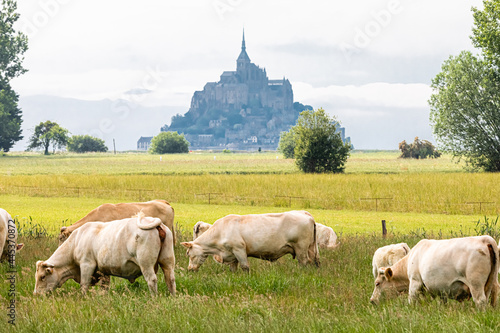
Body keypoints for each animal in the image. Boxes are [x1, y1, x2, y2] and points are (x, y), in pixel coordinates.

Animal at [33, 211, 176, 294]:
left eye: (42, 277)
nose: (36, 294)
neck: (76, 241)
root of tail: (156, 222)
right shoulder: (104, 271)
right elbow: (104, 288)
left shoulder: (87, 265)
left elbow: (84, 286)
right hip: (167, 262)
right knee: (170, 279)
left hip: (146, 264)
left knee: (152, 280)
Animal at [182, 210, 318, 272]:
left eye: (189, 254)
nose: (190, 269)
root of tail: (304, 212)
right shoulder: (231, 254)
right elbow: (233, 269)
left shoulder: (239, 249)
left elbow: (245, 267)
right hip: (311, 248)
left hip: (301, 248)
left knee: (303, 262)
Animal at [370, 235, 498, 308]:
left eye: (377, 283)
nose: (372, 301)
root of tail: (485, 239)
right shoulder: (440, 289)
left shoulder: (415, 281)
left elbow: (411, 299)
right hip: (491, 281)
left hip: (475, 284)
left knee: (480, 301)